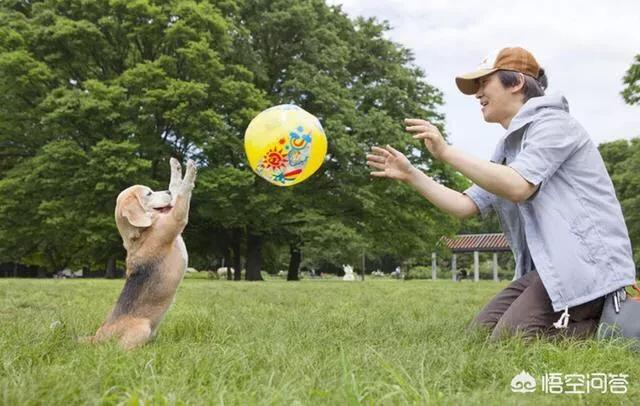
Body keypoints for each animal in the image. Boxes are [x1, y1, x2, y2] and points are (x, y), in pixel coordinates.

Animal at [85, 158, 196, 348]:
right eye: (149, 194)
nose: (166, 192)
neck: (141, 232)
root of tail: (98, 335)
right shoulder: (177, 218)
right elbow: (182, 193)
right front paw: (190, 171)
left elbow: (176, 188)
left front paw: (175, 167)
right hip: (142, 328)